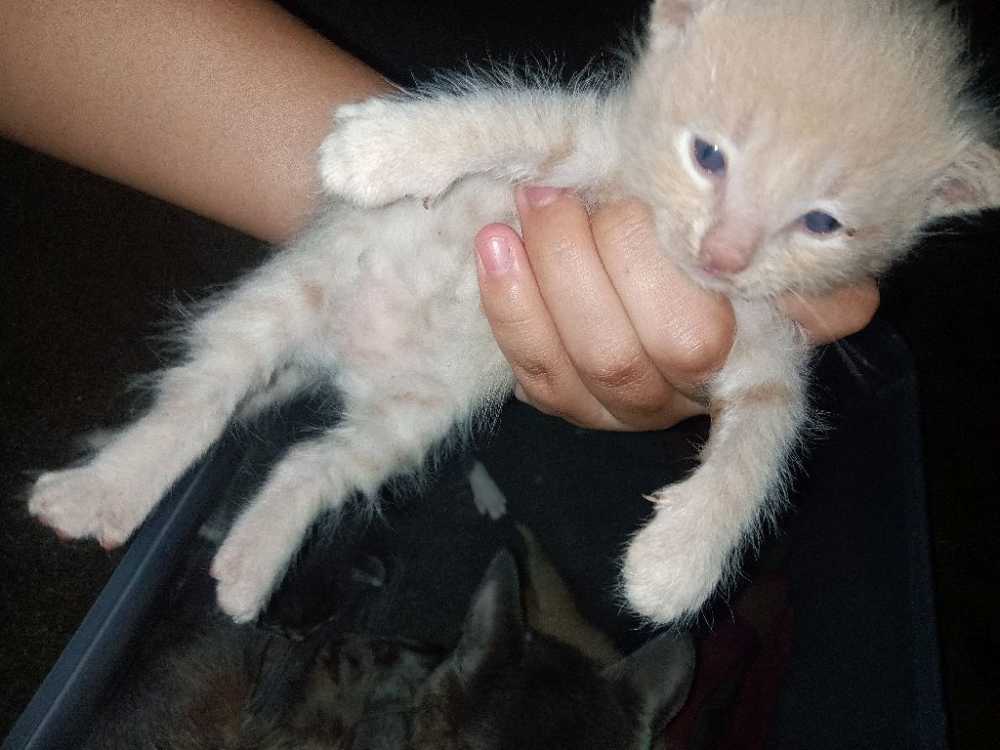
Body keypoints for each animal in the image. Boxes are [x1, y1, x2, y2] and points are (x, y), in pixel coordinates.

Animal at [27, 0, 1000, 626]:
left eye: (822, 223)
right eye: (709, 154)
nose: (723, 256)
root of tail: (344, 358)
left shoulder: (767, 342)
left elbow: (764, 436)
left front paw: (678, 563)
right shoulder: (583, 136)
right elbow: (508, 120)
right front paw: (377, 150)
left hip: (411, 417)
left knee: (314, 463)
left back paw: (250, 563)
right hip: (289, 298)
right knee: (203, 400)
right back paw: (103, 493)